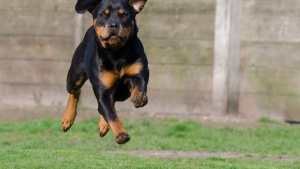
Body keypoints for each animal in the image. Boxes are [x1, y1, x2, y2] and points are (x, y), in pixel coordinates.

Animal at [61, 0, 149, 145]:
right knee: (76, 91)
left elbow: (139, 83)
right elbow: (110, 114)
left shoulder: (138, 71)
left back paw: (103, 124)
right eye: (103, 14)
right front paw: (121, 134)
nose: (113, 24)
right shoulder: (102, 89)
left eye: (124, 15)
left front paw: (139, 97)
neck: (116, 53)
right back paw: (67, 118)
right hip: (75, 76)